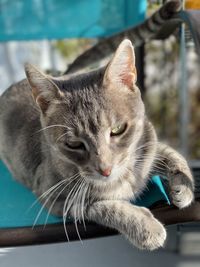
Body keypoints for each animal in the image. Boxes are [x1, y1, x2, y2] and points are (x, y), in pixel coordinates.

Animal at [0, 38, 195, 250]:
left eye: (118, 129)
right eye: (73, 143)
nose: (105, 170)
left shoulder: (148, 143)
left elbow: (173, 154)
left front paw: (184, 187)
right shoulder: (55, 198)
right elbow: (102, 206)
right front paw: (145, 226)